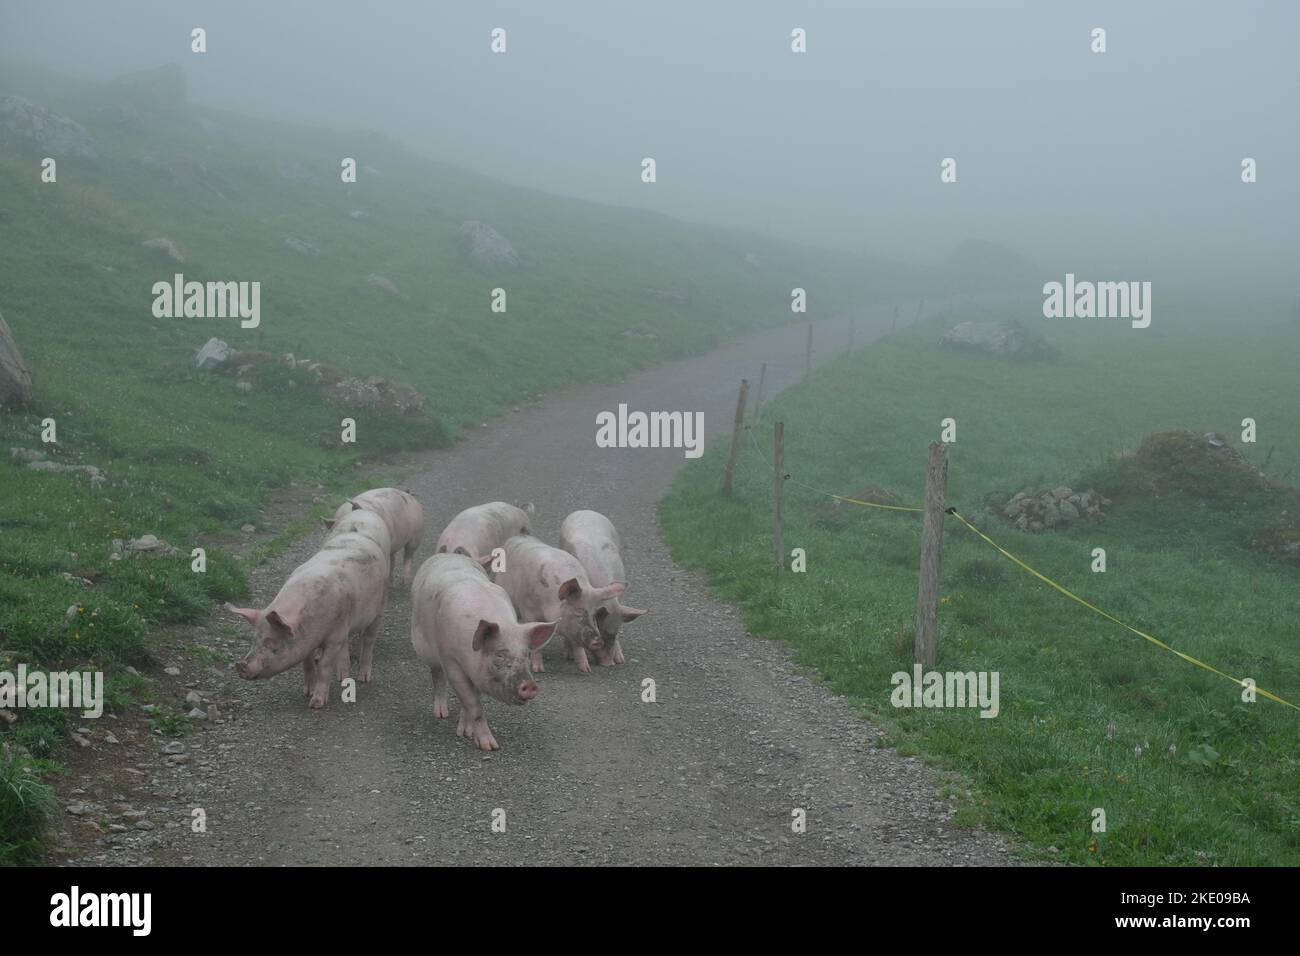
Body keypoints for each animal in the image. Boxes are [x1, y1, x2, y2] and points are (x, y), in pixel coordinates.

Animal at [226, 512, 387, 707]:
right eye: (254, 640)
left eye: (273, 645)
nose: (241, 667)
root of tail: (359, 534)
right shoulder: (307, 640)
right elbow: (308, 664)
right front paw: (306, 693)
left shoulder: (335, 635)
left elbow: (324, 666)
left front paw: (316, 704)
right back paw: (343, 677)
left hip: (379, 607)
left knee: (369, 640)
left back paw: (363, 678)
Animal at [410, 556, 559, 749]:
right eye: (500, 654)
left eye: (526, 654)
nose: (530, 685)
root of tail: (448, 555)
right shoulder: (451, 661)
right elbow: (474, 705)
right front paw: (490, 746)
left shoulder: (475, 672)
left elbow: (468, 701)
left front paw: (466, 734)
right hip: (427, 651)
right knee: (438, 676)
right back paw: (441, 714)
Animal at [493, 535, 626, 676]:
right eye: (578, 611)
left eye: (595, 613)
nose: (598, 641)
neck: (548, 602)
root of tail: (516, 538)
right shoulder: (529, 611)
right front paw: (538, 670)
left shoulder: (573, 629)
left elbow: (577, 645)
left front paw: (586, 670)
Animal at [559, 509, 644, 665]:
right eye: (600, 631)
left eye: (614, 633)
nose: (608, 663)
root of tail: (585, 510)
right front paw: (570, 657)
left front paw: (621, 660)